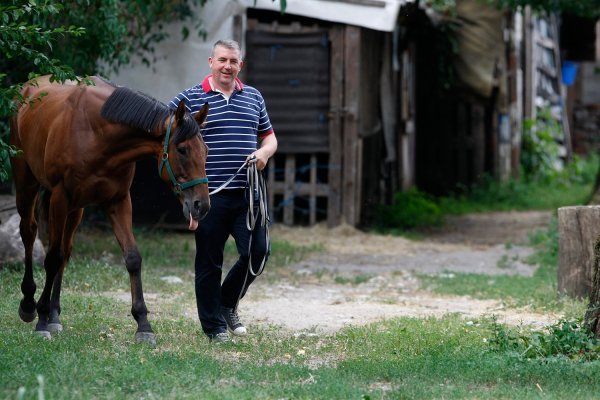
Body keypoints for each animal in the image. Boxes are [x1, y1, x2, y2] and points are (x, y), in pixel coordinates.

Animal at [8, 76, 211, 346]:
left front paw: (143, 324)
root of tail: (26, 88)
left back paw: (54, 316)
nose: (202, 205)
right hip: (27, 184)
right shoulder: (60, 198)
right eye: (182, 149)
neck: (97, 133)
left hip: (76, 209)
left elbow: (132, 258)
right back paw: (30, 305)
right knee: (29, 233)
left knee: (65, 250)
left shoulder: (119, 201)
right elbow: (51, 258)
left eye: (206, 151)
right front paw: (40, 319)